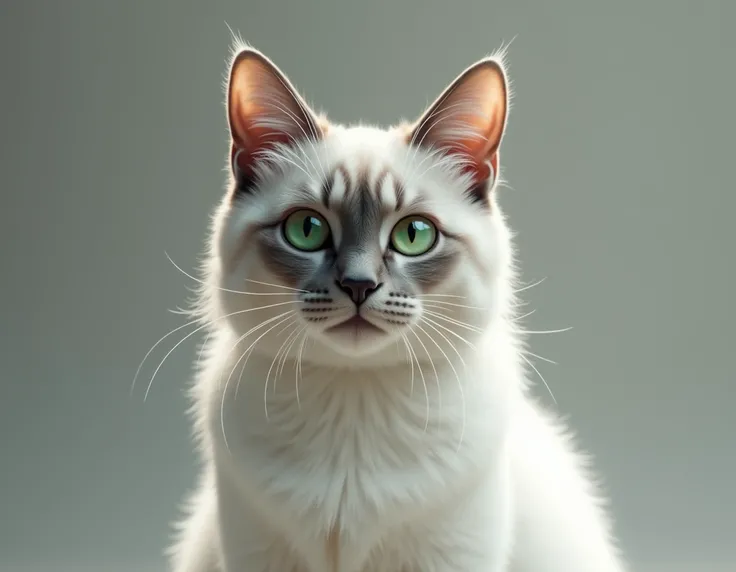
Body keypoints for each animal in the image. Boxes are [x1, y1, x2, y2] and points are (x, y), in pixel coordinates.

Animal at [167, 40, 628, 572]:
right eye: (307, 229)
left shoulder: (453, 553)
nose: (359, 284)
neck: (353, 402)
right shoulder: (255, 550)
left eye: (414, 235)